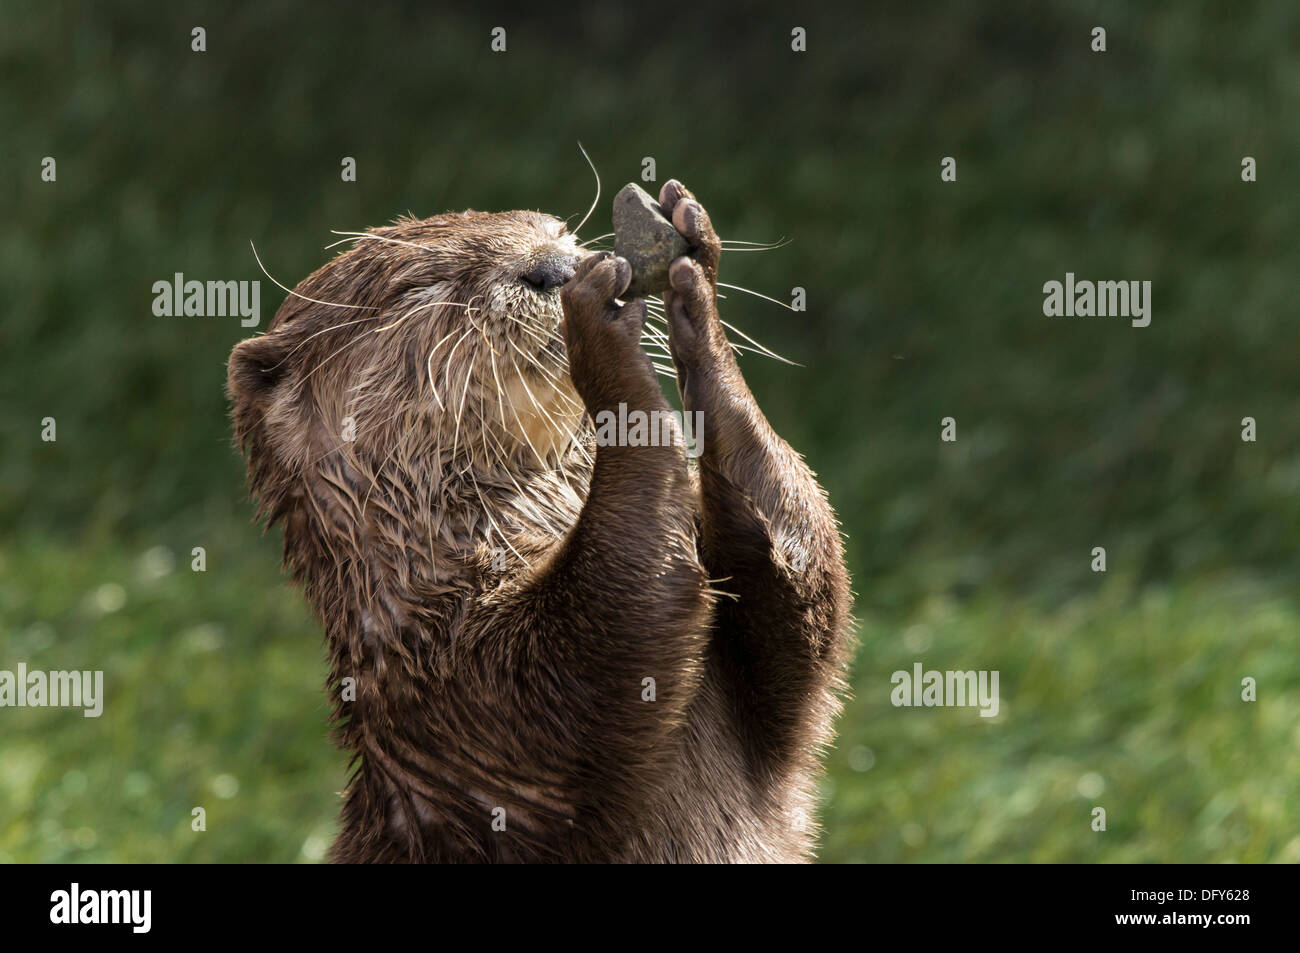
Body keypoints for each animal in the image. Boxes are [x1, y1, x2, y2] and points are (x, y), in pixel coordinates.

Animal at [226, 180, 852, 863]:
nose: (553, 268)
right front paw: (599, 327)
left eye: (556, 231)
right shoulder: (474, 697)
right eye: (421, 282)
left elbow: (801, 612)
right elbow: (602, 639)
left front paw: (698, 283)